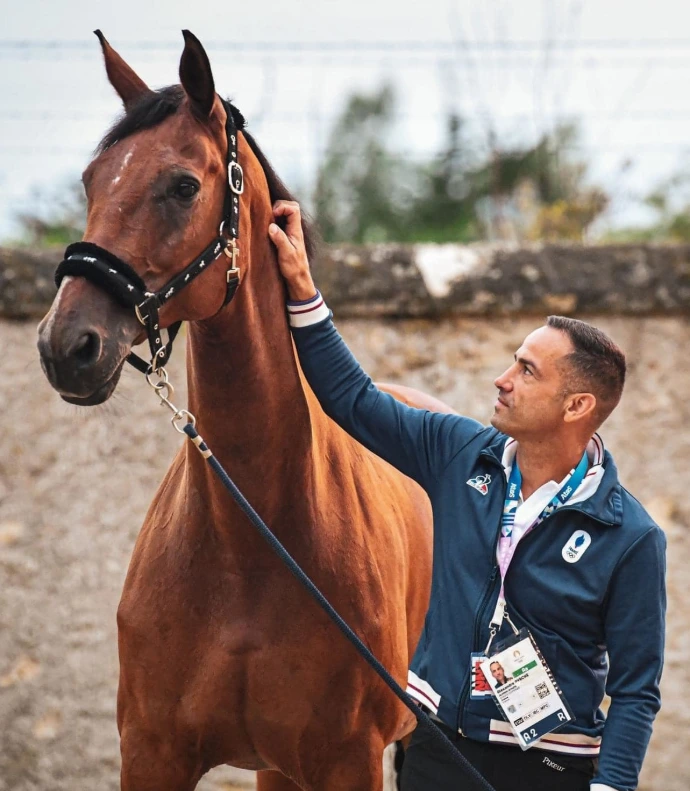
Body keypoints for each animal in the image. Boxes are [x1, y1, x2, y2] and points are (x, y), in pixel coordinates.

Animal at [37, 31, 453, 791]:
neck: (249, 539)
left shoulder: (349, 760)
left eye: (183, 186)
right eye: (90, 181)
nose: (66, 345)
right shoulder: (152, 752)